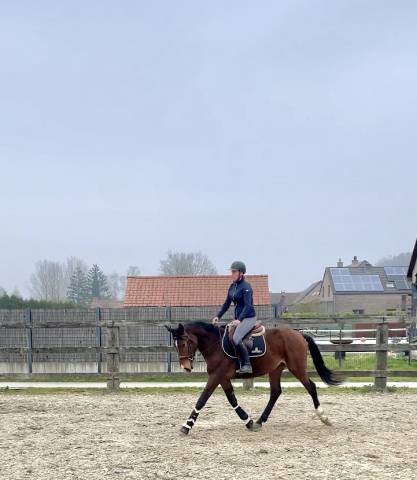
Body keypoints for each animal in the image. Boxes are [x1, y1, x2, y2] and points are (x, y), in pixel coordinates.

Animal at [165, 322, 342, 436]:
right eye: (175, 345)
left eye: (184, 342)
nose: (185, 367)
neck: (215, 344)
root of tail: (298, 333)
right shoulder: (223, 378)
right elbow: (232, 400)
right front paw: (248, 422)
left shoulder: (216, 376)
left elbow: (202, 399)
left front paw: (186, 425)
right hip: (276, 370)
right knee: (275, 392)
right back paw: (260, 421)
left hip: (296, 367)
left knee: (311, 387)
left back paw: (324, 417)